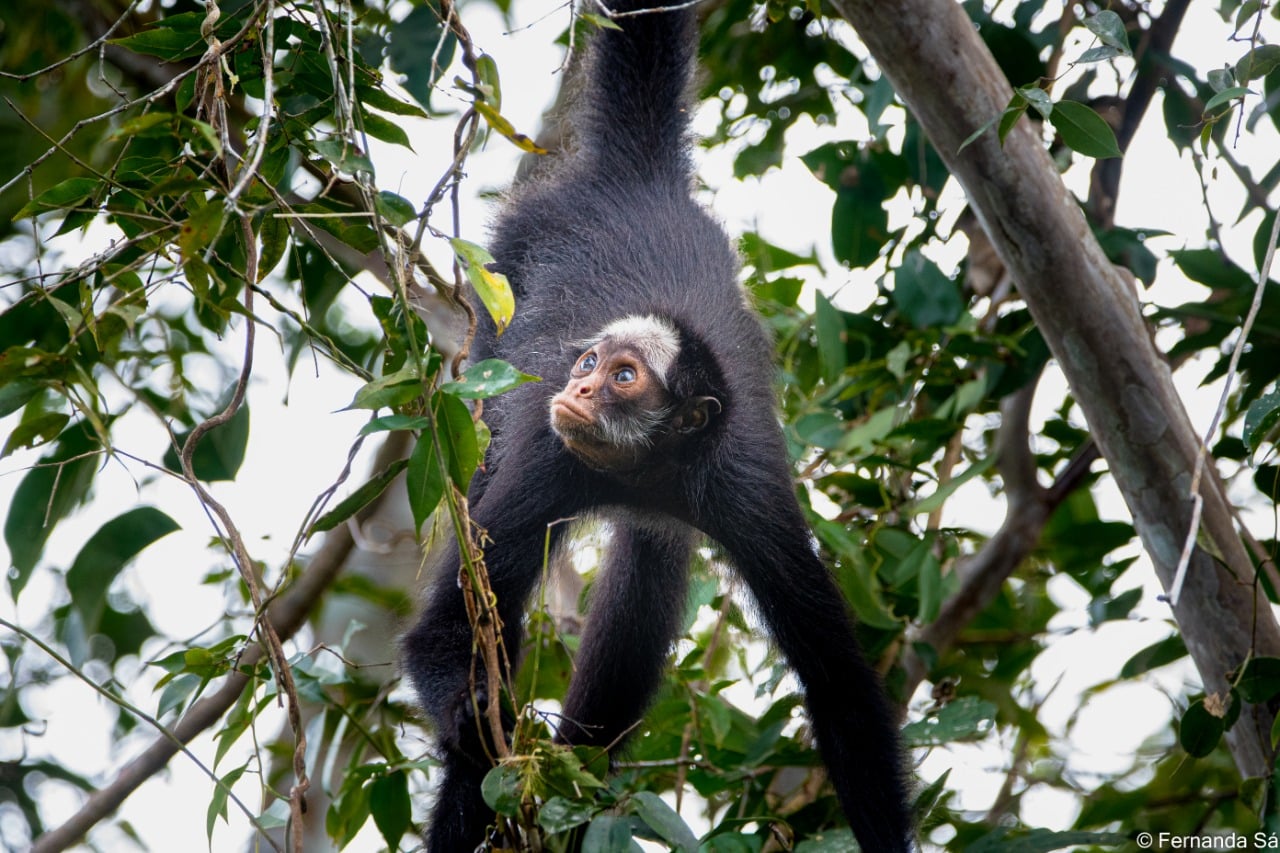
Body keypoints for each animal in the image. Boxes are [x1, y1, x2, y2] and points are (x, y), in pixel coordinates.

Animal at [404, 3, 916, 845]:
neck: (647, 467)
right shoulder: (553, 457)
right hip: (503, 273)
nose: (579, 388)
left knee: (650, 567)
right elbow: (444, 635)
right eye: (589, 363)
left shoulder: (743, 487)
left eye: (623, 377)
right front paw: (476, 719)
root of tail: (640, 180)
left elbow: (839, 690)